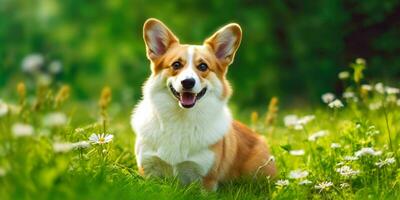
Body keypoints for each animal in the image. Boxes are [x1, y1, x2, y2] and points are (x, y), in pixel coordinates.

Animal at [133, 18, 276, 191]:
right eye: (176, 65)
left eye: (203, 66)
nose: (188, 82)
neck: (180, 118)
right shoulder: (149, 170)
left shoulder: (205, 179)